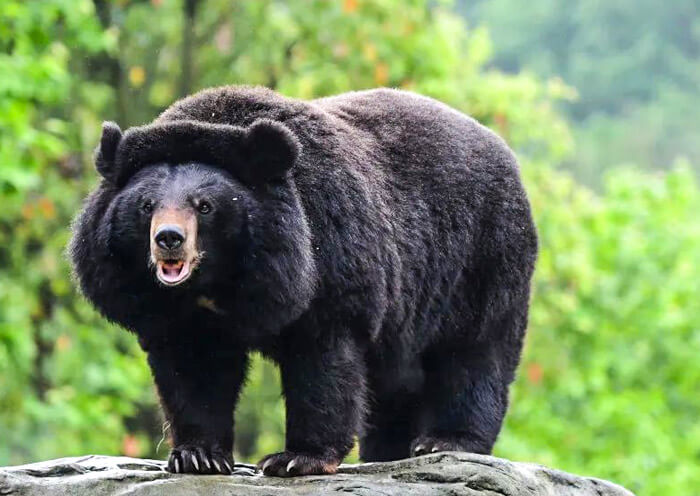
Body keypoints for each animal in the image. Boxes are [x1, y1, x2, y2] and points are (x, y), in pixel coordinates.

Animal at [69, 86, 538, 477]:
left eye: (204, 206)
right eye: (147, 205)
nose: (169, 240)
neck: (217, 282)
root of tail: (502, 149)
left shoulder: (328, 253)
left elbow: (323, 358)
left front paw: (295, 459)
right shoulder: (169, 308)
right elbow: (194, 367)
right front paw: (197, 455)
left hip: (479, 259)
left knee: (474, 352)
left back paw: (446, 442)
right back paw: (387, 452)